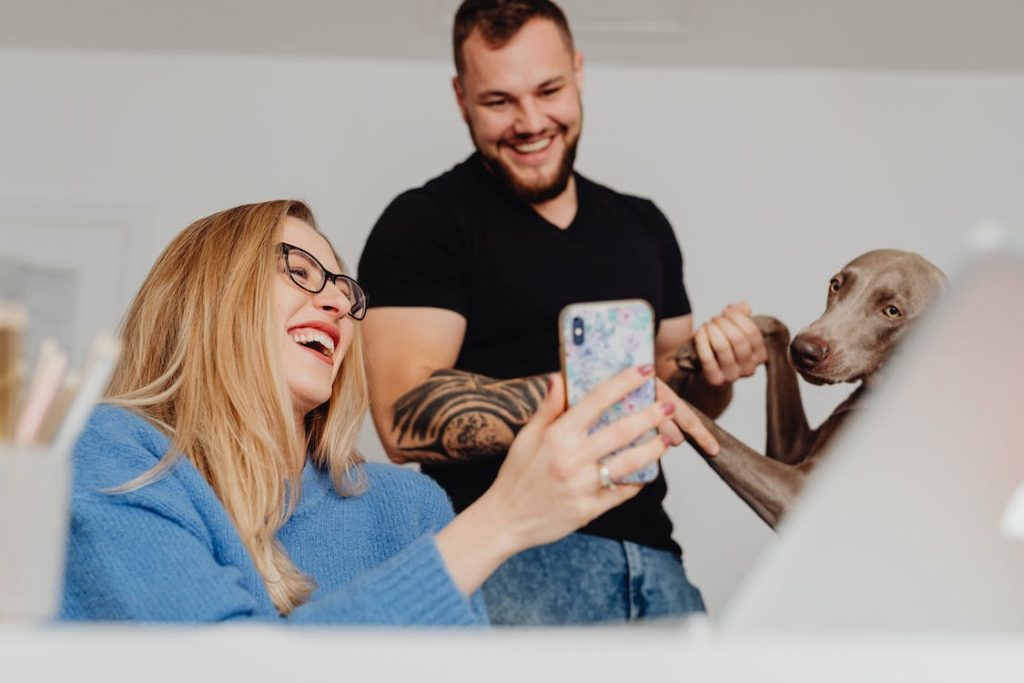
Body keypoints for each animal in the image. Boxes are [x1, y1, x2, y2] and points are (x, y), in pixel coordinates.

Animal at [675, 250, 946, 528]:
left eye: (892, 311)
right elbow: (777, 324)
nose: (804, 350)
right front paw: (697, 346)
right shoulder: (791, 450)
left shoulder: (798, 490)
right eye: (835, 285)